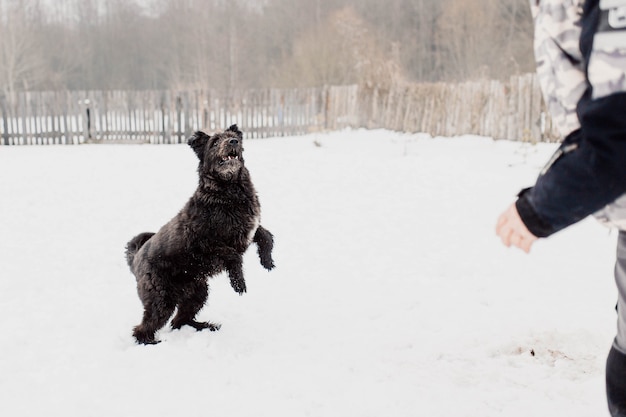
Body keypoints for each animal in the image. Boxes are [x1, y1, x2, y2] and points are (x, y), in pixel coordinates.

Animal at [124, 124, 272, 344]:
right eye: (215, 142)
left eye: (234, 136)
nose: (233, 142)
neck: (228, 192)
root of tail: (135, 260)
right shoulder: (204, 243)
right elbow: (233, 255)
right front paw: (238, 283)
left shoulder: (248, 229)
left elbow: (266, 235)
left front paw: (267, 261)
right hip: (161, 300)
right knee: (143, 328)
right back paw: (151, 342)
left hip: (197, 292)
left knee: (179, 321)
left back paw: (204, 327)